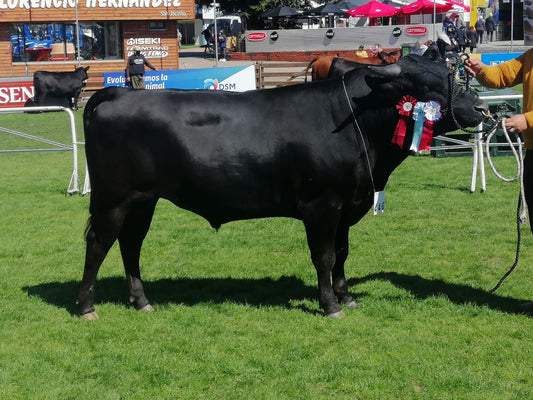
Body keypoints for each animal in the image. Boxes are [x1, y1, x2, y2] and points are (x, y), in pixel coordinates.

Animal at [78, 54, 486, 320]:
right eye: (427, 85)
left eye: (450, 73)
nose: (481, 109)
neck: (356, 123)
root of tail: (119, 93)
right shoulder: (323, 205)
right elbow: (324, 256)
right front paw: (330, 306)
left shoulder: (347, 206)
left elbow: (343, 254)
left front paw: (346, 297)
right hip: (113, 198)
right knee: (98, 244)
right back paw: (86, 307)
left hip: (143, 200)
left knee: (130, 245)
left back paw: (141, 301)